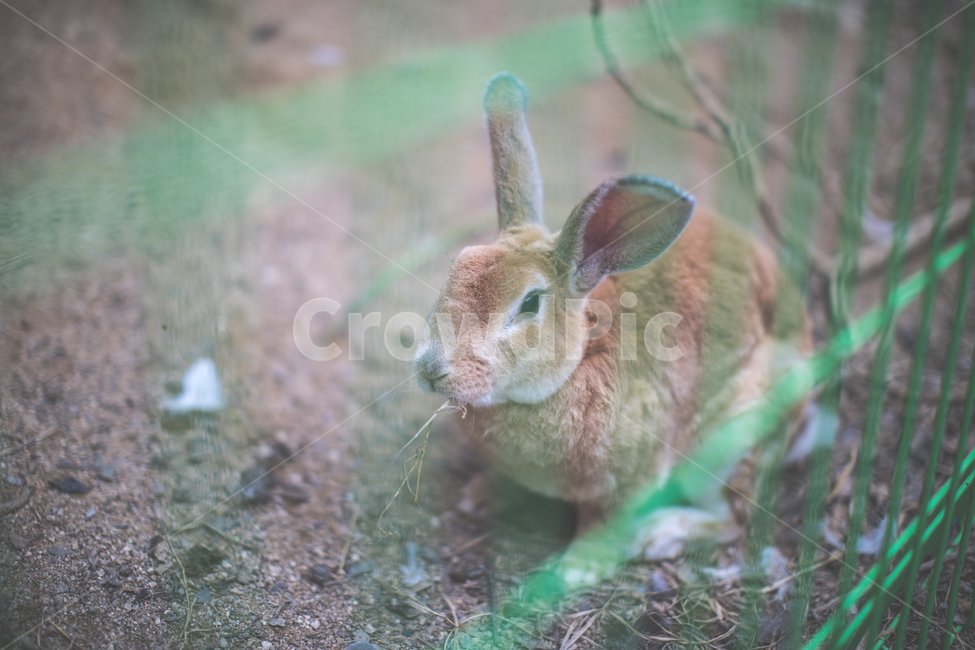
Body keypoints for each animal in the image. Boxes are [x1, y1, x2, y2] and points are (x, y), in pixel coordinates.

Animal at [414, 73, 811, 561]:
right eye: (456, 266)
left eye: (530, 303)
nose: (430, 368)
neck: (580, 357)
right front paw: (482, 495)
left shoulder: (628, 479)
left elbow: (600, 526)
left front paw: (577, 567)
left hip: (731, 442)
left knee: (735, 518)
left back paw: (658, 535)